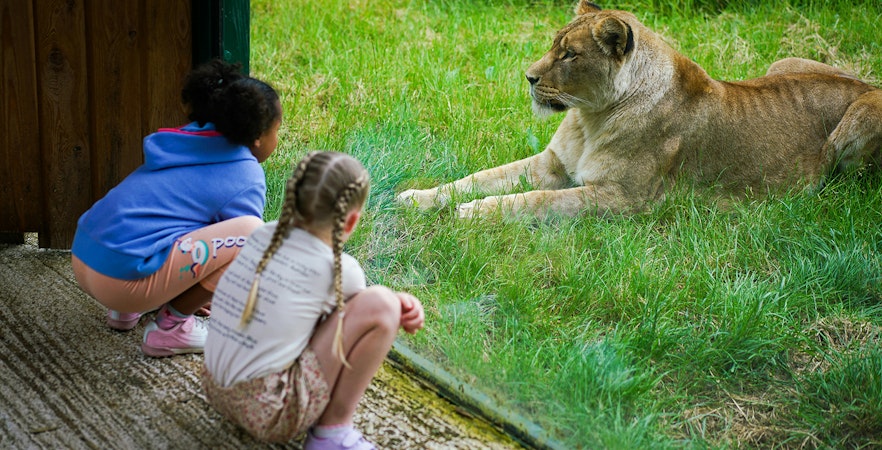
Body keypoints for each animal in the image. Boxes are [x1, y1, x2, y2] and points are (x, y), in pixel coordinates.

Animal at [397, 1, 882, 218]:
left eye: (569, 54)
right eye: (554, 45)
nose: (529, 78)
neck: (589, 117)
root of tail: (864, 81)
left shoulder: (621, 197)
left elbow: (536, 201)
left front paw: (474, 213)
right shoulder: (552, 163)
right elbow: (478, 178)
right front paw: (417, 198)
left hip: (859, 118)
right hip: (782, 63)